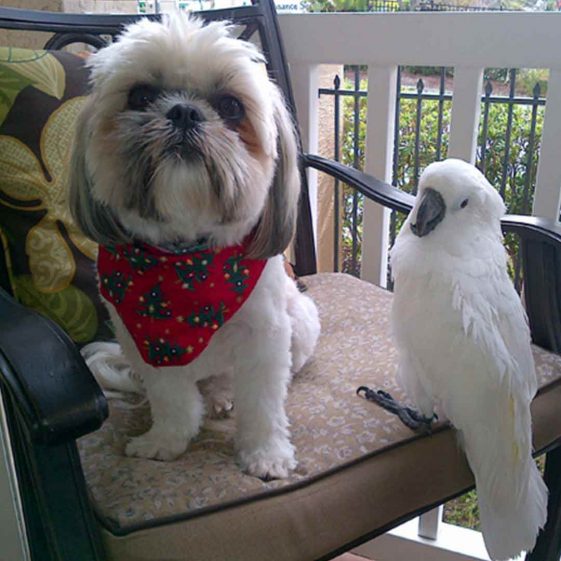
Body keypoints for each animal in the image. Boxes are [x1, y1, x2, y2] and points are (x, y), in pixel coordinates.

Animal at [71, 14, 320, 476]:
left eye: (231, 106)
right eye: (141, 95)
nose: (184, 111)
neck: (188, 268)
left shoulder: (265, 336)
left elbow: (262, 403)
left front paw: (266, 453)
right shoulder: (149, 343)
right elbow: (173, 400)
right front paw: (166, 441)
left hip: (302, 320)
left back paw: (224, 396)